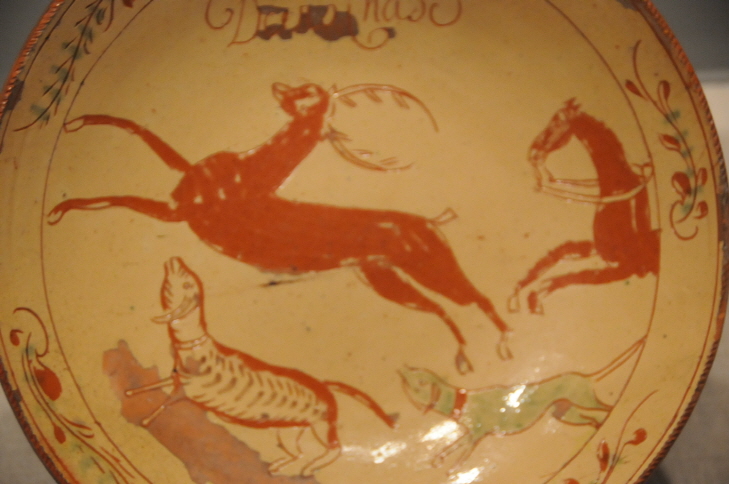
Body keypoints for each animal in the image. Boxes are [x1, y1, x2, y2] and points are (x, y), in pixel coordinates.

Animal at [48, 81, 513, 373]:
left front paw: (61, 208)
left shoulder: (174, 212)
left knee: (471, 299)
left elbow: (118, 195)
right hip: (383, 277)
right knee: (448, 306)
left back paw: (500, 344)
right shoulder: (180, 191)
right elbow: (138, 130)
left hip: (424, 265)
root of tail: (427, 221)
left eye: (308, 99)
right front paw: (78, 122)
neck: (252, 172)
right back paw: (474, 353)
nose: (278, 88)